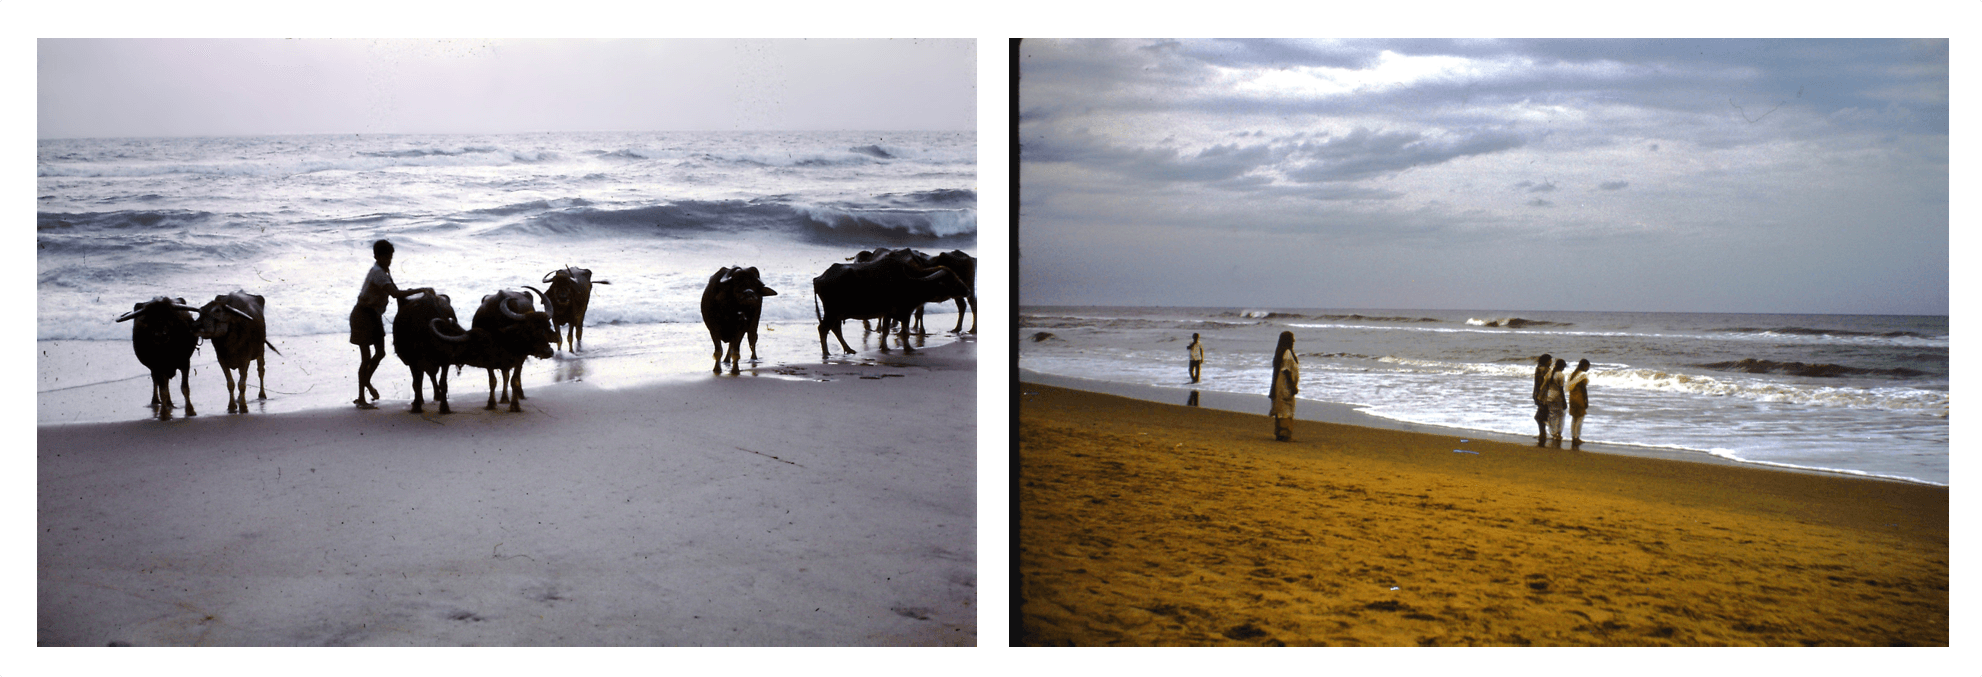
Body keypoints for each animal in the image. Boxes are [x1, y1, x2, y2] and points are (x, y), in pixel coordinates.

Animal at [808, 253, 971, 360]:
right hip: (832, 311)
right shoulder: (905, 312)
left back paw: (848, 349)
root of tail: (819, 278)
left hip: (837, 313)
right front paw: (908, 348)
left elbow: (886, 331)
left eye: (956, 276)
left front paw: (884, 347)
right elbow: (904, 332)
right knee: (823, 329)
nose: (968, 290)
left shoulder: (887, 313)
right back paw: (827, 353)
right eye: (952, 280)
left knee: (835, 329)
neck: (911, 282)